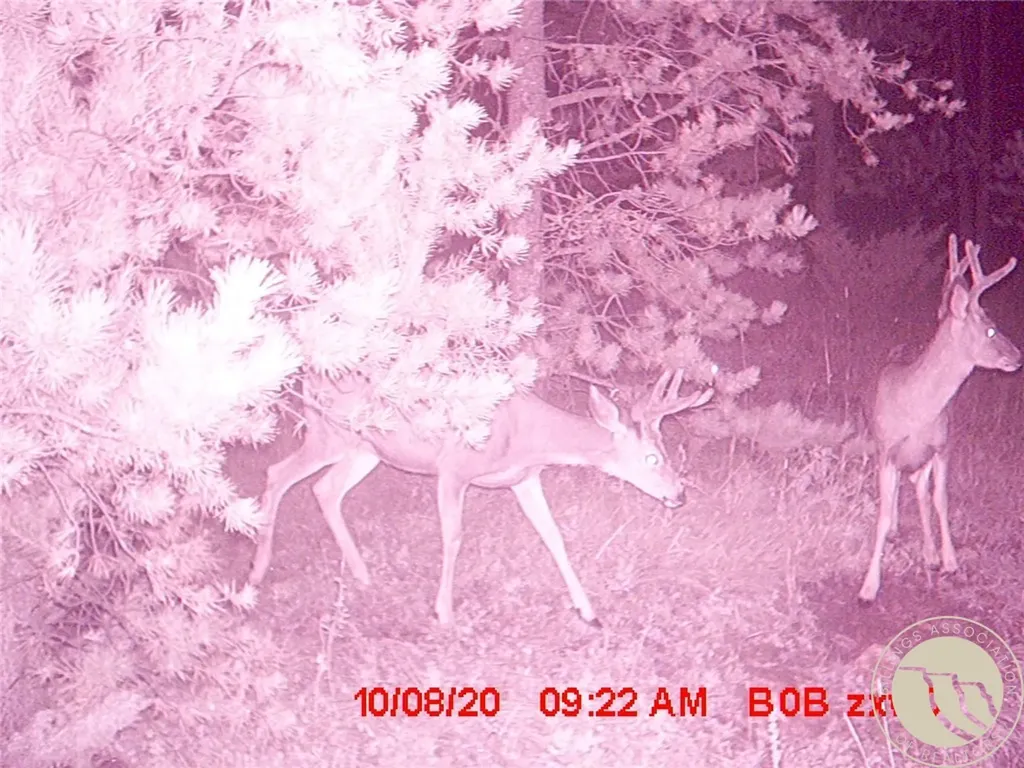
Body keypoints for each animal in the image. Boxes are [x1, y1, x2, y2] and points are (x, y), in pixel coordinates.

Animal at [247, 368, 714, 626]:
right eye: (653, 457)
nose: (679, 495)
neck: (528, 438)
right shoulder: (454, 468)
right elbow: (453, 536)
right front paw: (444, 612)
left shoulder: (525, 478)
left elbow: (555, 537)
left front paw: (588, 612)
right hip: (328, 433)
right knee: (277, 474)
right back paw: (255, 574)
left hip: (365, 449)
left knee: (324, 489)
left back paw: (362, 575)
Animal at [858, 234, 1021, 603]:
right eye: (991, 331)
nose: (1018, 356)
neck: (918, 408)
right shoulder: (887, 448)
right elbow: (883, 512)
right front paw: (869, 587)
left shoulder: (943, 445)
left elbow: (940, 500)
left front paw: (948, 560)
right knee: (898, 492)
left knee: (919, 489)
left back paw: (930, 553)